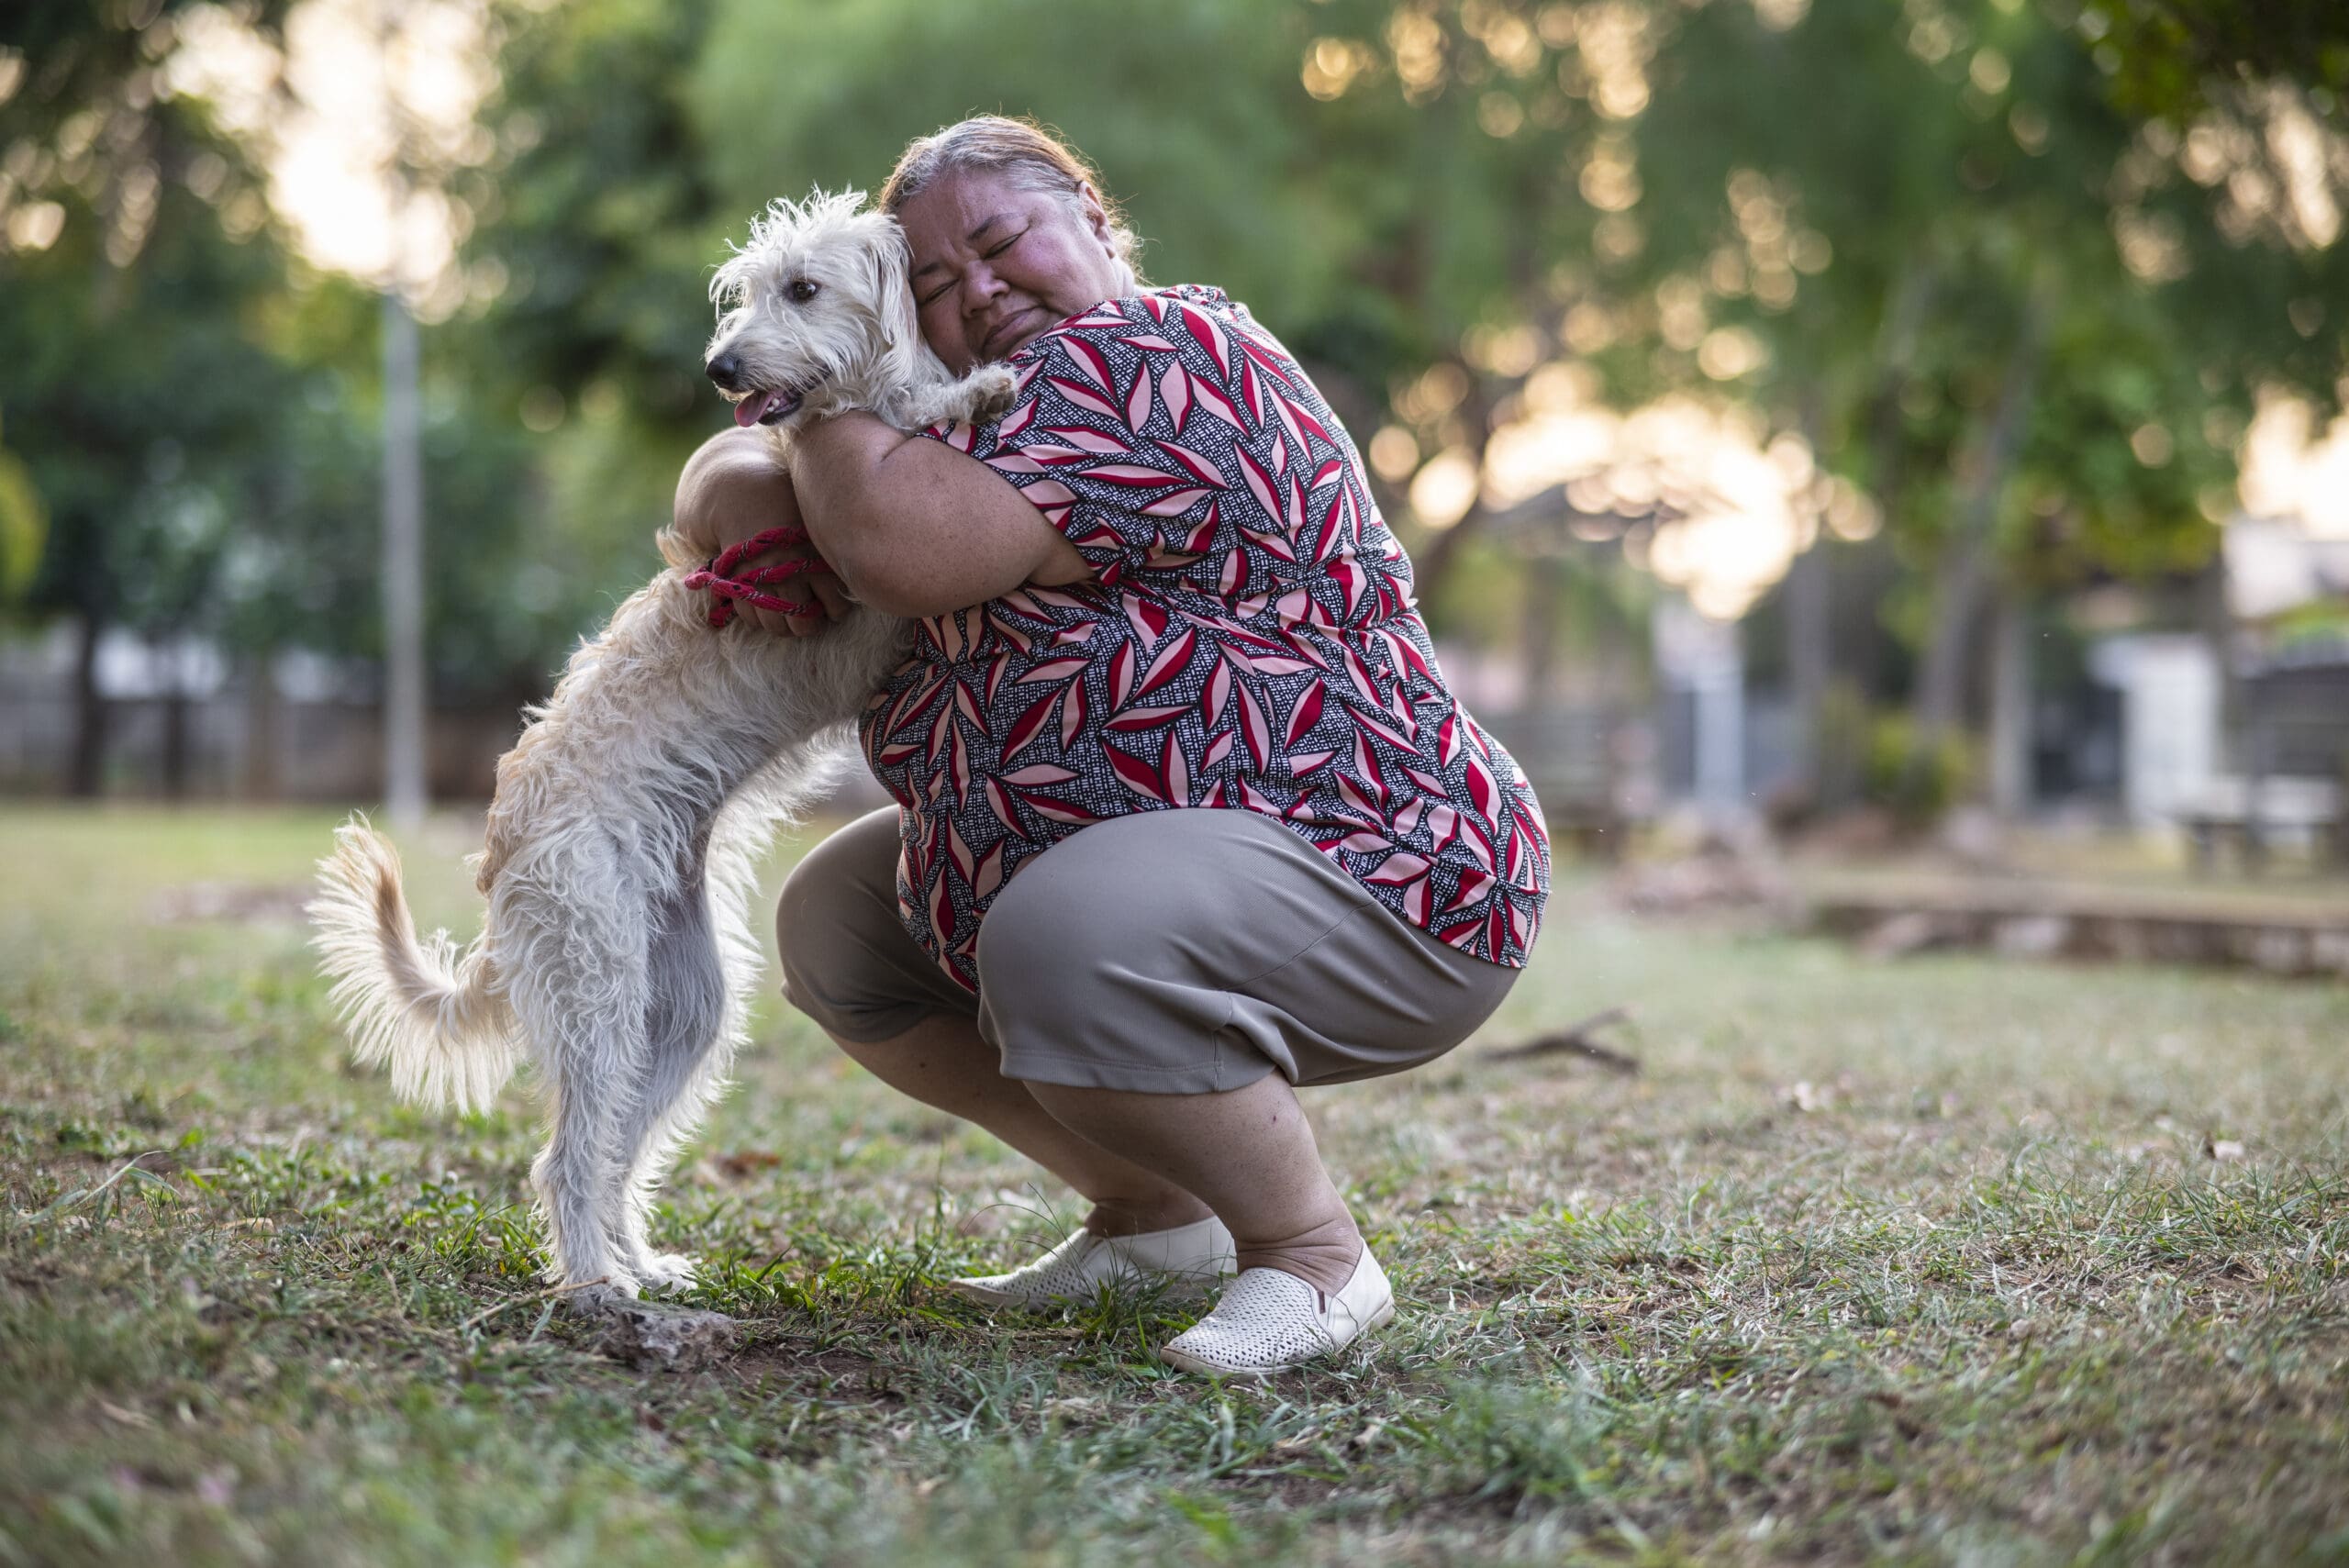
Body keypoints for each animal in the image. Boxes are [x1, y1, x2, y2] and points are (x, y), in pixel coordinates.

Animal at [309, 190, 1009, 1305]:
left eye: (802, 287)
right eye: (747, 290)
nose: (720, 367)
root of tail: (502, 860)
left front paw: (957, 390)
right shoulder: (863, 602)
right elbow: (912, 427)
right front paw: (973, 391)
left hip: (679, 1008)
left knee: (616, 1150)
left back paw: (638, 1260)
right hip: (599, 985)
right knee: (568, 1155)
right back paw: (596, 1281)